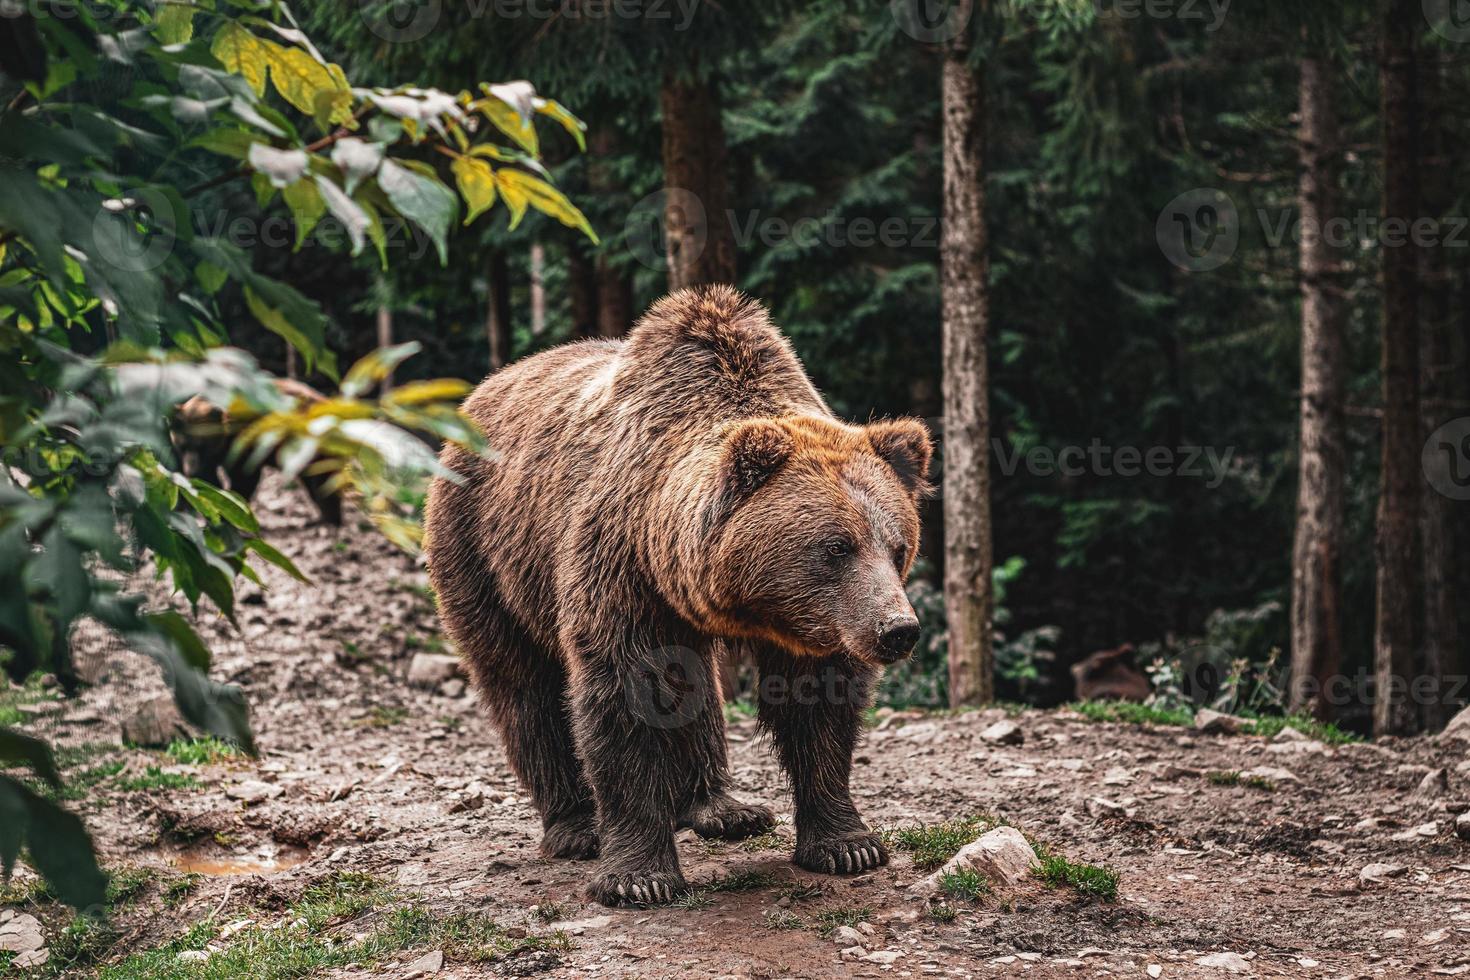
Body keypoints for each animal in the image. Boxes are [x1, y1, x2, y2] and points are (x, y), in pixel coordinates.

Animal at [423, 282, 929, 905]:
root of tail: (483, 390)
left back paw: (724, 808)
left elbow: (818, 705)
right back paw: (575, 827)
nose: (898, 630)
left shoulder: (814, 624)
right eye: (837, 546)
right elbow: (626, 695)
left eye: (898, 546)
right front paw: (638, 878)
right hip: (481, 550)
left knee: (694, 683)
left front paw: (847, 844)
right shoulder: (619, 566)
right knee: (522, 685)